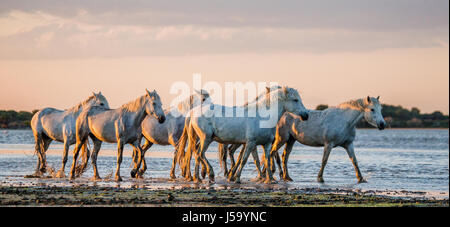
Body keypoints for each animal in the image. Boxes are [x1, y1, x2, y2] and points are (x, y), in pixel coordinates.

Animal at [179, 86, 310, 184]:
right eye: (295, 100)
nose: (306, 115)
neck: (262, 117)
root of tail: (193, 112)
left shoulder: (266, 144)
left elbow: (266, 160)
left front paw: (270, 179)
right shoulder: (250, 143)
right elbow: (244, 160)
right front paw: (237, 178)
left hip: (203, 139)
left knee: (196, 153)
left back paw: (198, 177)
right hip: (206, 138)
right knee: (200, 154)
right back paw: (208, 175)